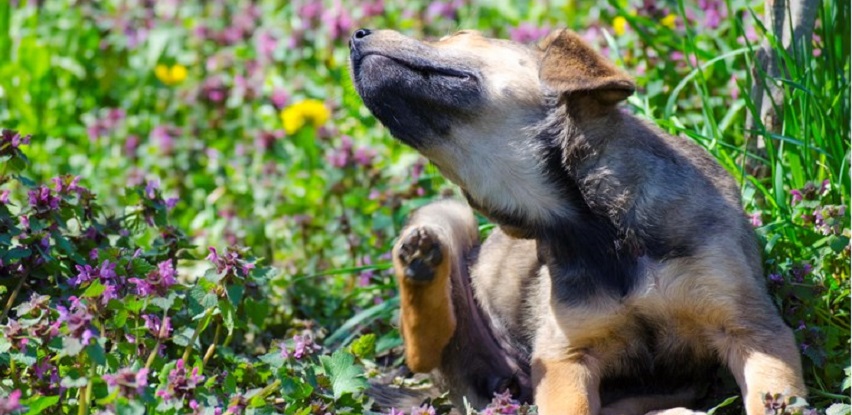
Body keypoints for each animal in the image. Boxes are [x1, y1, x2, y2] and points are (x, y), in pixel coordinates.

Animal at [348, 27, 804, 414]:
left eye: (459, 35)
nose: (355, 36)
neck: (594, 225)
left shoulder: (753, 330)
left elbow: (771, 395)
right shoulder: (565, 356)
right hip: (450, 215)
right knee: (421, 350)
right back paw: (420, 260)